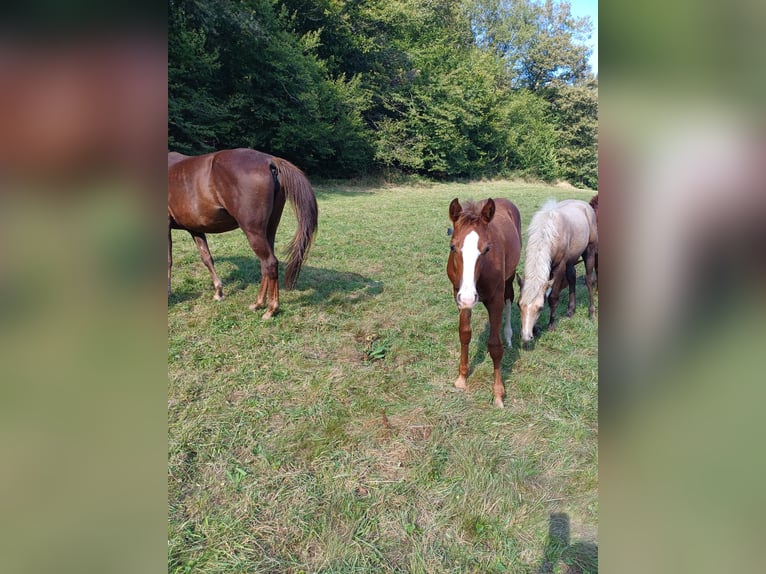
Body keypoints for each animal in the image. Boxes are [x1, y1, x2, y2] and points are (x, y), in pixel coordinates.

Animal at [170, 148, 320, 320]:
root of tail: (270, 161)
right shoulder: (195, 228)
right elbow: (207, 258)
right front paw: (218, 292)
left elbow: (168, 260)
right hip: (268, 231)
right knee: (265, 264)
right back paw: (258, 303)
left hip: (253, 231)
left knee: (270, 263)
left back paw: (271, 309)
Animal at [448, 198, 524, 410]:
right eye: (453, 247)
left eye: (487, 249)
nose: (468, 296)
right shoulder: (458, 295)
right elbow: (464, 333)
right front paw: (462, 378)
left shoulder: (495, 300)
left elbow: (495, 346)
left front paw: (498, 394)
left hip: (510, 275)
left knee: (510, 298)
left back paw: (508, 335)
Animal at [516, 199, 600, 342]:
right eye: (519, 304)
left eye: (540, 308)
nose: (526, 336)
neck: (547, 232)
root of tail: (585, 205)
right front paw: (536, 328)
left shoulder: (559, 266)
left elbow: (553, 297)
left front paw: (551, 325)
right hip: (571, 259)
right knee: (572, 278)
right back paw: (571, 310)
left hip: (589, 251)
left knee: (589, 280)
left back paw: (591, 313)